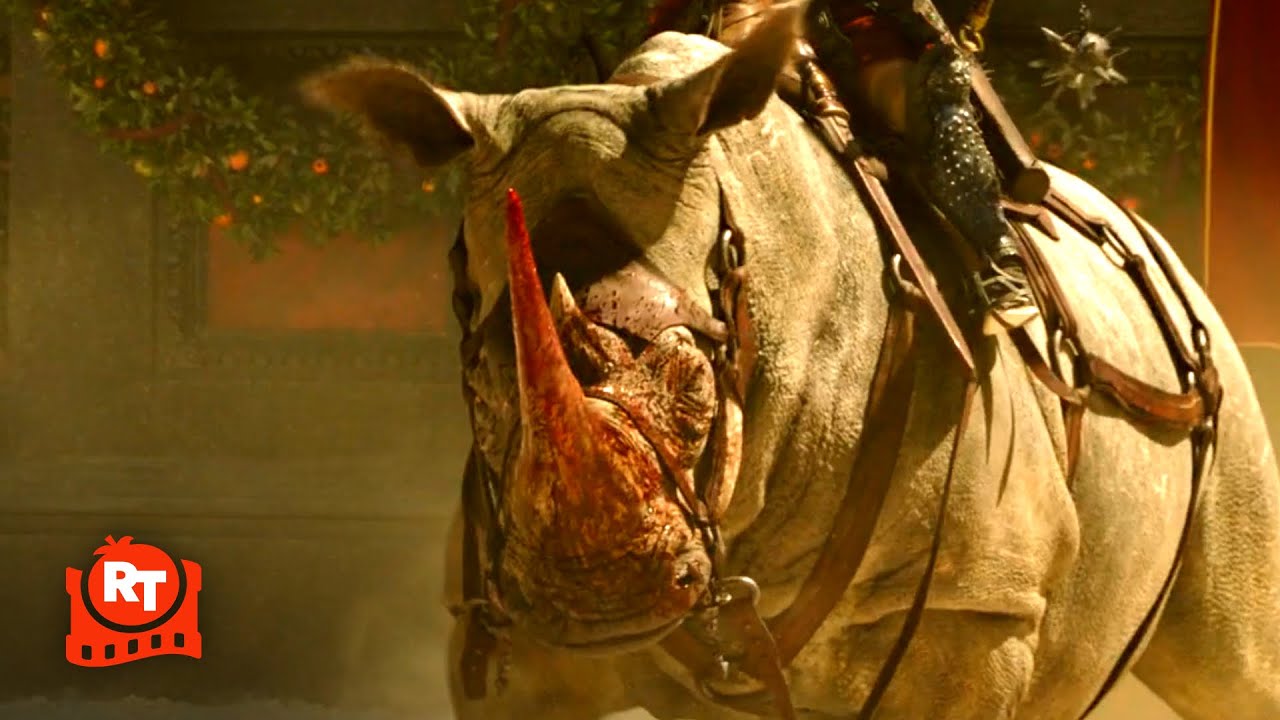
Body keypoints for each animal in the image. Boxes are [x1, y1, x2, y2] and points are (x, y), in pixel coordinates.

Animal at [303, 4, 1280, 718]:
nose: (599, 604)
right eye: (480, 385)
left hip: (1213, 385)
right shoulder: (502, 626)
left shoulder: (975, 602)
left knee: (1234, 664)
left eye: (700, 387)